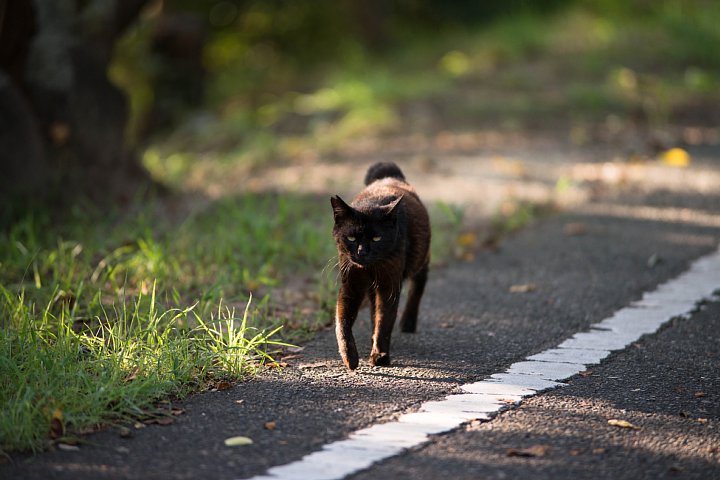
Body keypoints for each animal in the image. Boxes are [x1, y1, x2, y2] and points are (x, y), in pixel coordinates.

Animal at [330, 163, 430, 370]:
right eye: (351, 238)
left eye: (377, 238)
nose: (362, 252)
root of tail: (389, 175)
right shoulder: (351, 285)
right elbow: (342, 322)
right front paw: (349, 357)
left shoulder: (389, 285)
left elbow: (385, 320)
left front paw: (380, 356)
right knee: (372, 308)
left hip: (420, 261)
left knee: (418, 285)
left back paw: (408, 322)